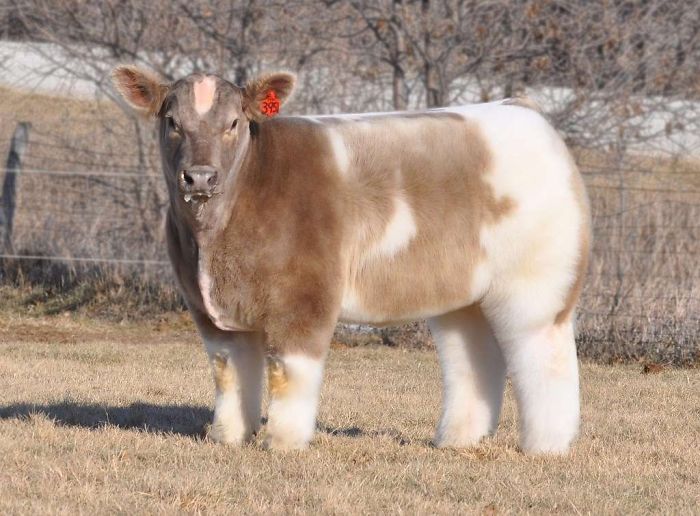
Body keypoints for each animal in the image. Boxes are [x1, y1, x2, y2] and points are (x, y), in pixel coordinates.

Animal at [111, 65, 590, 454]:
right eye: (172, 122)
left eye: (234, 123)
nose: (200, 177)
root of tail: (524, 110)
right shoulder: (208, 309)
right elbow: (229, 374)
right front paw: (228, 437)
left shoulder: (305, 297)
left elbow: (289, 373)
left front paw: (282, 443)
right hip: (463, 294)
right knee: (472, 357)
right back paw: (457, 439)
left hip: (536, 287)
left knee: (543, 357)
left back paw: (546, 445)